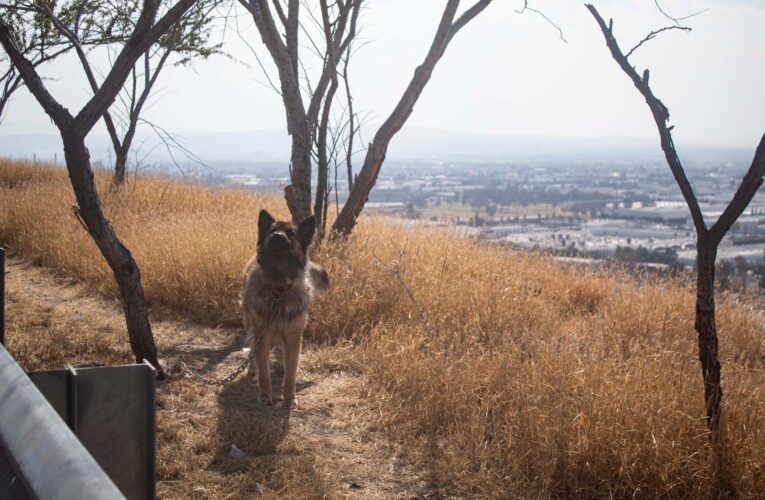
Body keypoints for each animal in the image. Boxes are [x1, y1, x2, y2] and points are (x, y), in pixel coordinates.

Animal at [242, 209, 328, 408]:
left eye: (291, 233)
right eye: (272, 230)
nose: (277, 236)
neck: (279, 290)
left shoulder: (294, 335)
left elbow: (291, 372)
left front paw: (289, 398)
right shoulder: (262, 333)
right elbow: (264, 371)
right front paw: (265, 395)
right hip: (251, 325)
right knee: (252, 347)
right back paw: (252, 369)